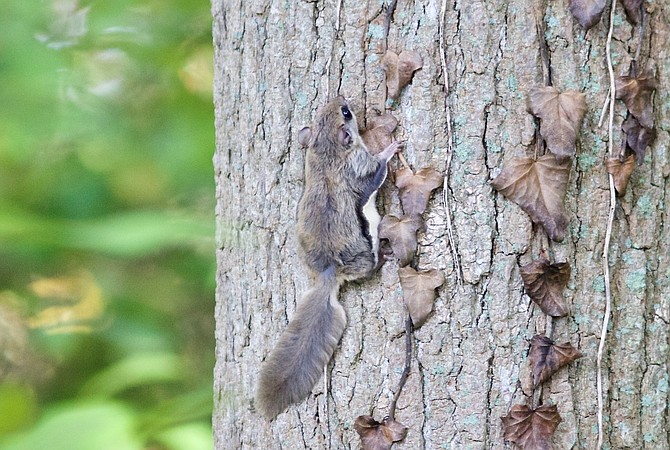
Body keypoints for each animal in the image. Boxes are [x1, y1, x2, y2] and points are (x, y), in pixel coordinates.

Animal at [258, 95, 402, 418]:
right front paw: (391, 148)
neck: (325, 152)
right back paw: (384, 257)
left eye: (328, 111)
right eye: (346, 113)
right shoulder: (362, 166)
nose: (340, 97)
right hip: (367, 249)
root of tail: (328, 275)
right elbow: (378, 169)